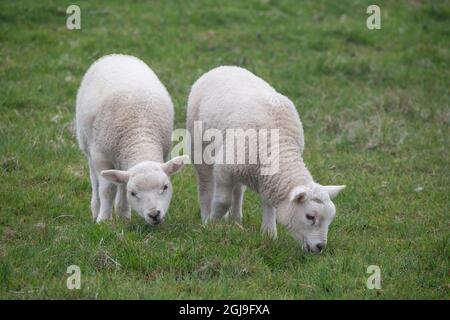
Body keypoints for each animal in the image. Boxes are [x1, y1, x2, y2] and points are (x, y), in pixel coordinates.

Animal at [76, 54, 187, 225]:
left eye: (165, 187)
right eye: (134, 193)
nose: (154, 214)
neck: (139, 134)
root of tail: (116, 56)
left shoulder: (164, 152)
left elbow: (120, 184)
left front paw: (122, 217)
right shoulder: (101, 157)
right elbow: (107, 189)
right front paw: (103, 220)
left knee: (121, 181)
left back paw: (123, 214)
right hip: (87, 144)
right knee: (94, 179)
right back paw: (96, 210)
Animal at [186, 67, 344, 252]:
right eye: (310, 216)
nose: (320, 247)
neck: (279, 146)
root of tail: (223, 67)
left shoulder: (266, 177)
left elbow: (268, 203)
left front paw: (269, 234)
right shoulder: (224, 170)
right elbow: (222, 202)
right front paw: (212, 225)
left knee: (238, 189)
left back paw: (235, 219)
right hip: (199, 145)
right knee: (205, 183)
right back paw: (206, 215)